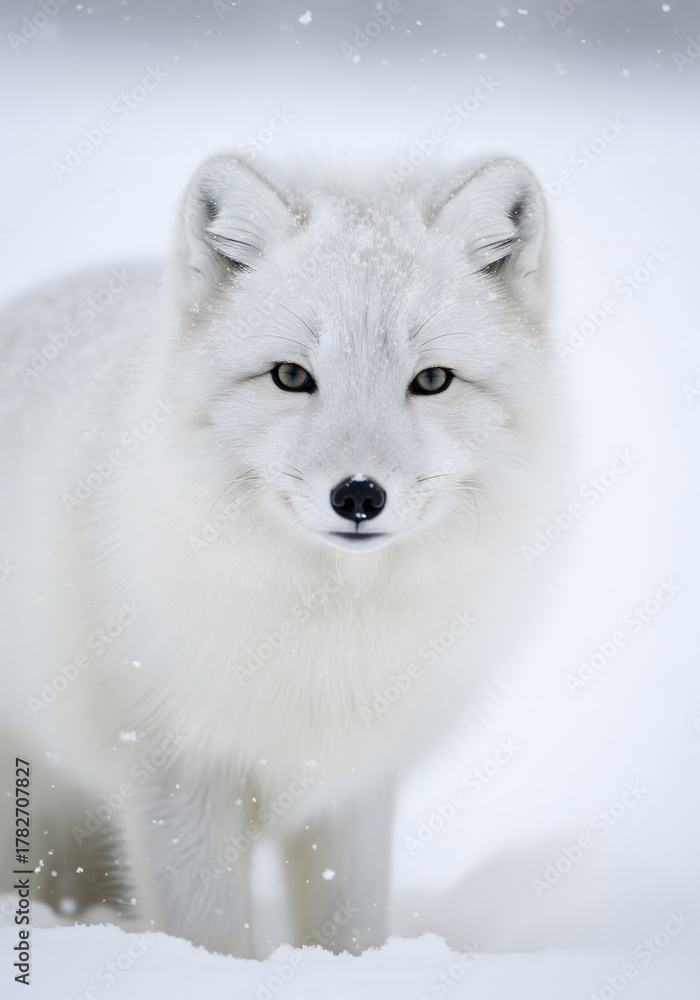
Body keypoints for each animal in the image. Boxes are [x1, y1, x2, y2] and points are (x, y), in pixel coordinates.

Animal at [0, 153, 553, 956]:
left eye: (432, 380)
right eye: (291, 376)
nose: (359, 495)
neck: (325, 629)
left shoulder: (351, 780)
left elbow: (348, 918)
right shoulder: (173, 768)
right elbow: (208, 932)